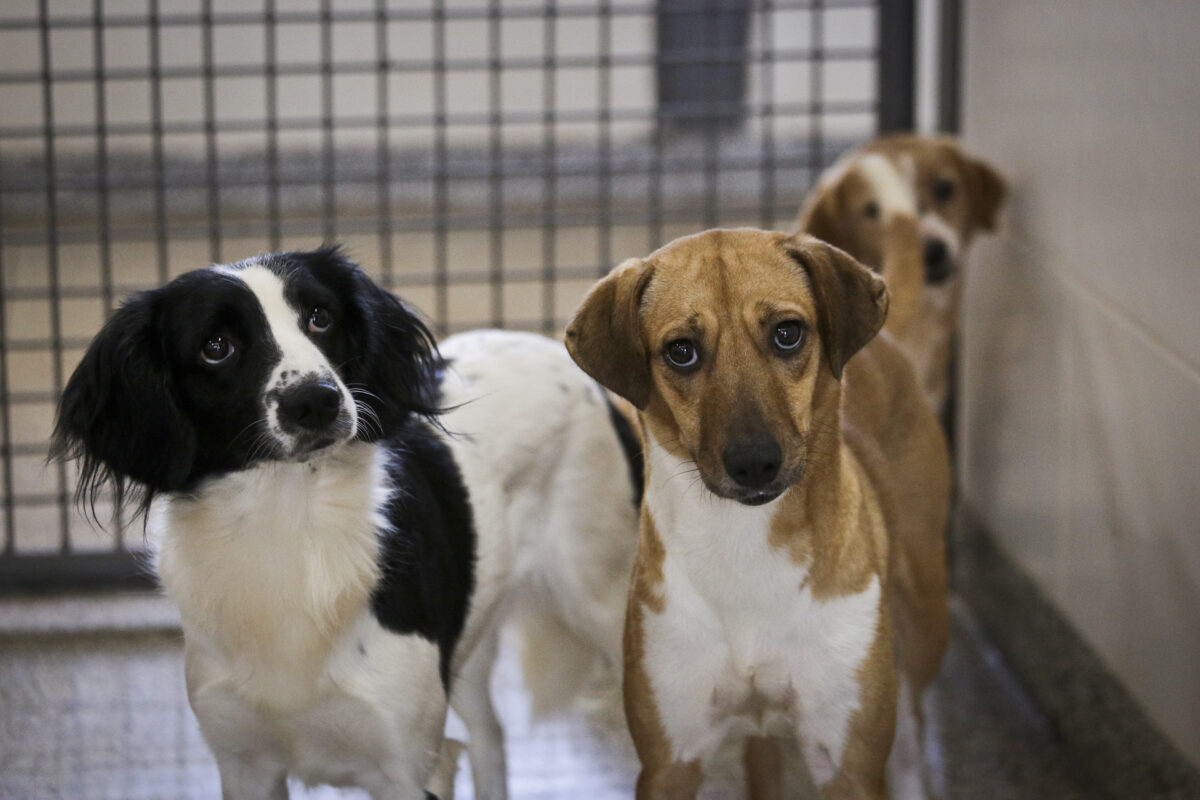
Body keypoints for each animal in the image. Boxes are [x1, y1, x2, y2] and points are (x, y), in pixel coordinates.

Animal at [54, 247, 638, 796]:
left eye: (320, 317)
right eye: (216, 347)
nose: (315, 400)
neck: (290, 529)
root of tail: (558, 350)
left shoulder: (409, 767)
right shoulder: (245, 765)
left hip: (603, 602)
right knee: (490, 738)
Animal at [566, 227, 950, 796]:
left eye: (787, 334)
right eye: (681, 351)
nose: (754, 463)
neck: (744, 546)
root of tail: (890, 342)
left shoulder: (848, 765)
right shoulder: (668, 762)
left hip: (924, 613)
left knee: (911, 730)